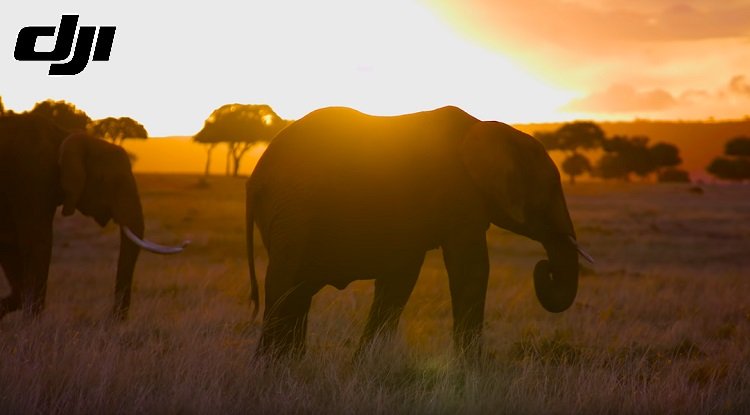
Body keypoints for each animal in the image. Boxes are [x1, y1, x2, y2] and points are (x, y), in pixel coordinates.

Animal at [0, 114, 187, 322]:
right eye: (110, 181)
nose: (114, 320)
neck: (64, 136)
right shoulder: (32, 179)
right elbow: (37, 243)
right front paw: (34, 323)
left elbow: (10, 243)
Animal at [247, 105, 592, 360]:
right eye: (550, 190)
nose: (544, 268)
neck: (490, 129)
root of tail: (254, 180)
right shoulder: (458, 194)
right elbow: (472, 270)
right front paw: (471, 372)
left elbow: (400, 279)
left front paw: (363, 364)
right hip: (294, 210)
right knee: (286, 284)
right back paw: (272, 368)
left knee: (298, 290)